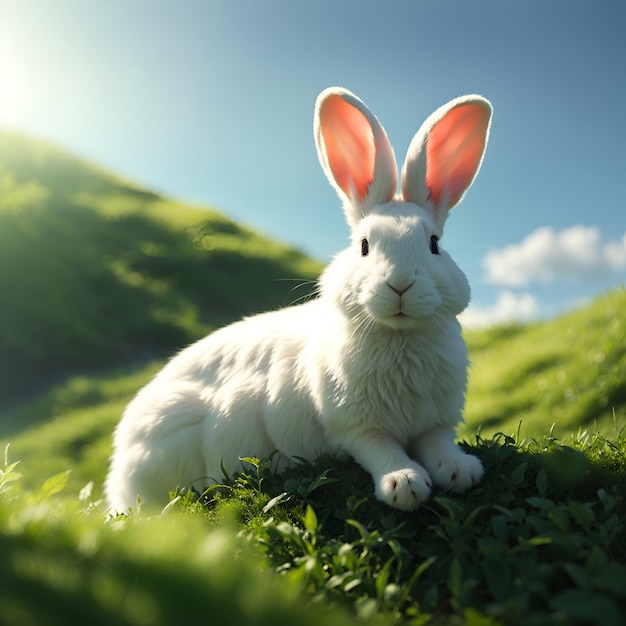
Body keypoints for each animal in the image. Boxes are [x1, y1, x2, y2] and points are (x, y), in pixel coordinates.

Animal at [103, 86, 492, 512]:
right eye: (364, 246)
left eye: (434, 244)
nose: (400, 284)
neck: (399, 337)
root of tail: (119, 472)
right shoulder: (354, 426)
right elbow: (380, 450)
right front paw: (403, 484)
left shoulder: (434, 421)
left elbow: (437, 443)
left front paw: (460, 470)